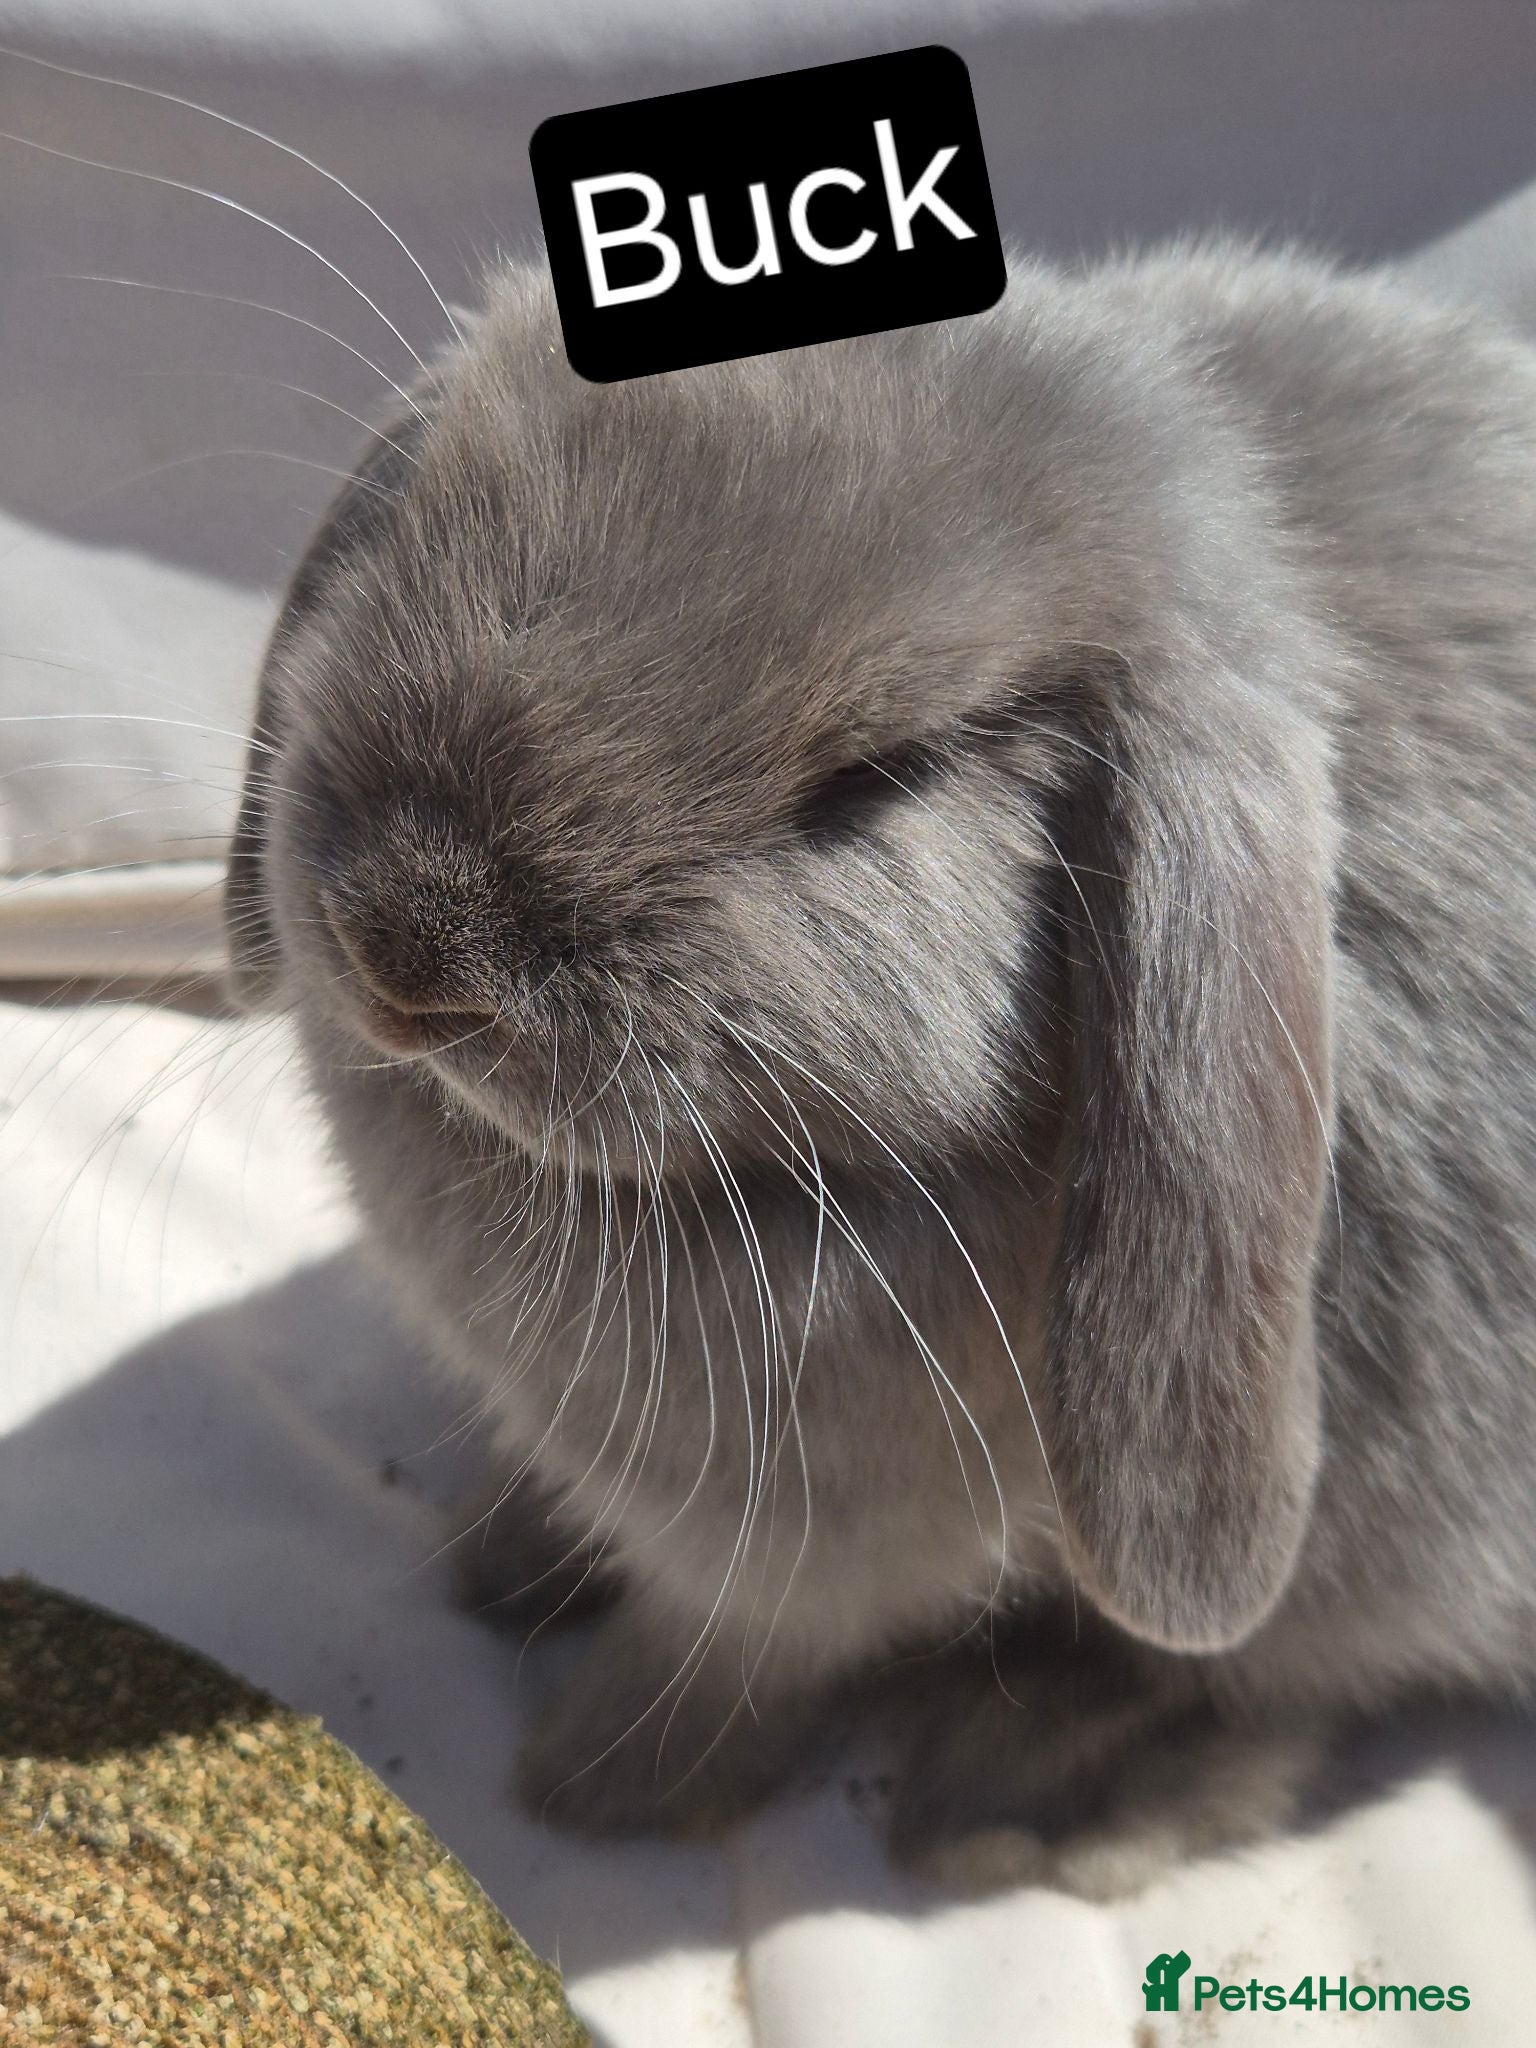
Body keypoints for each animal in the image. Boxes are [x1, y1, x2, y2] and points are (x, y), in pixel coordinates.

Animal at [225, 240, 1536, 1897]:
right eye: (441, 520)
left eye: (879, 778)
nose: (409, 953)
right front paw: (503, 1559)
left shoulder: (803, 1567)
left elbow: (722, 1665)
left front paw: (590, 1783)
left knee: (1288, 1688)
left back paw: (1029, 1797)